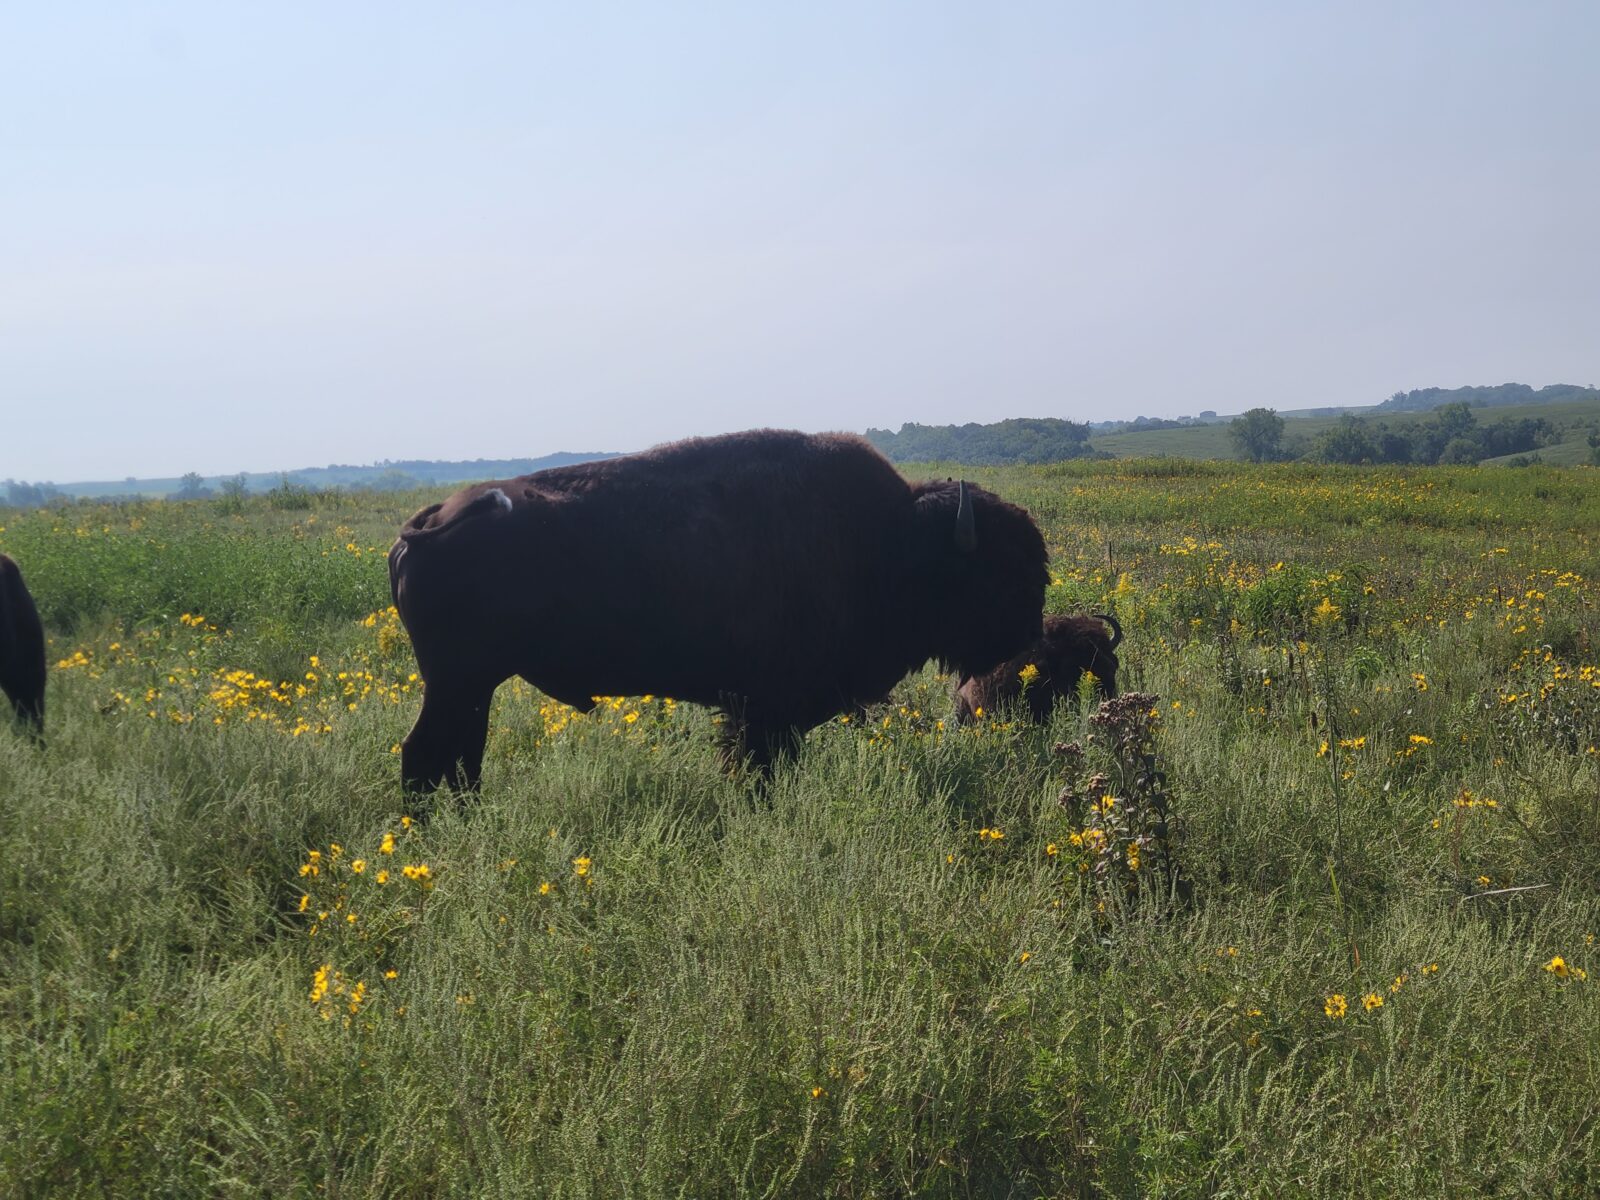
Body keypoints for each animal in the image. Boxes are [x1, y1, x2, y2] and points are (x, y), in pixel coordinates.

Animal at [390, 428, 1049, 793]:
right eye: (1000, 570)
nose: (1033, 635)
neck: (889, 542)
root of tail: (426, 523)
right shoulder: (765, 713)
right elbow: (756, 769)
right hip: (457, 684)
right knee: (426, 755)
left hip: (472, 687)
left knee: (458, 758)